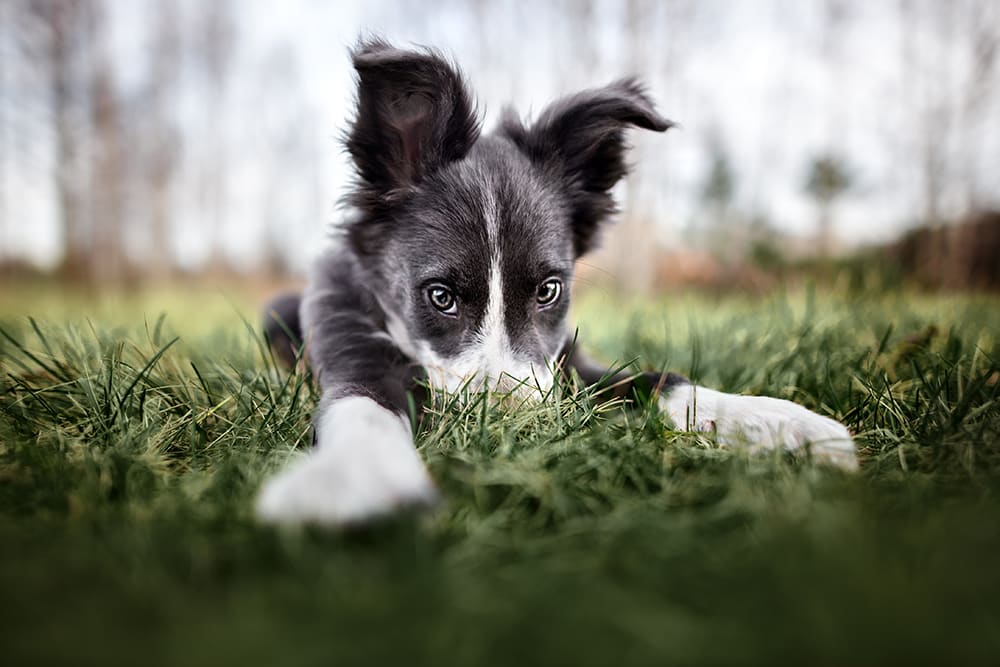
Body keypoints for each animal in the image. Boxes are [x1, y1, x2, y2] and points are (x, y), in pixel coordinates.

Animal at [254, 39, 856, 524]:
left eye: (548, 290)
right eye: (441, 297)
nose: (515, 428)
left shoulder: (567, 361)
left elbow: (658, 380)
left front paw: (781, 422)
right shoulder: (351, 345)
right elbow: (364, 406)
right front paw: (355, 478)